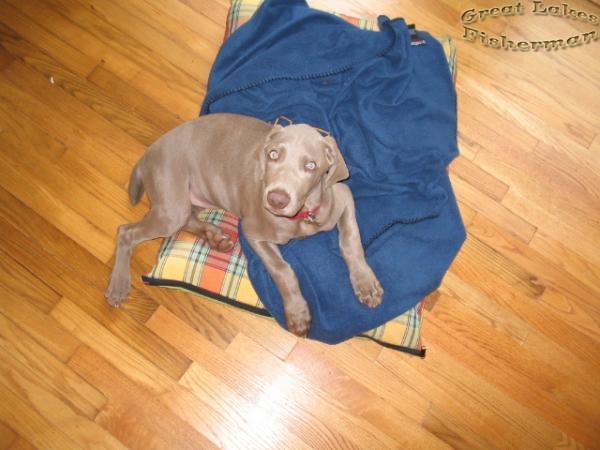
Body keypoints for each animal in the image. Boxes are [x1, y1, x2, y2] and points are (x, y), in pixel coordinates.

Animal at [105, 113, 383, 336]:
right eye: (273, 154)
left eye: (311, 165)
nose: (276, 199)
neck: (301, 217)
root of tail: (149, 151)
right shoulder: (253, 231)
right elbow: (283, 270)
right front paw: (297, 313)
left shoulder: (343, 196)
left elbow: (350, 241)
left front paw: (366, 284)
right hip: (172, 202)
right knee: (126, 231)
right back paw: (118, 285)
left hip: (193, 198)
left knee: (188, 218)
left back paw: (215, 236)